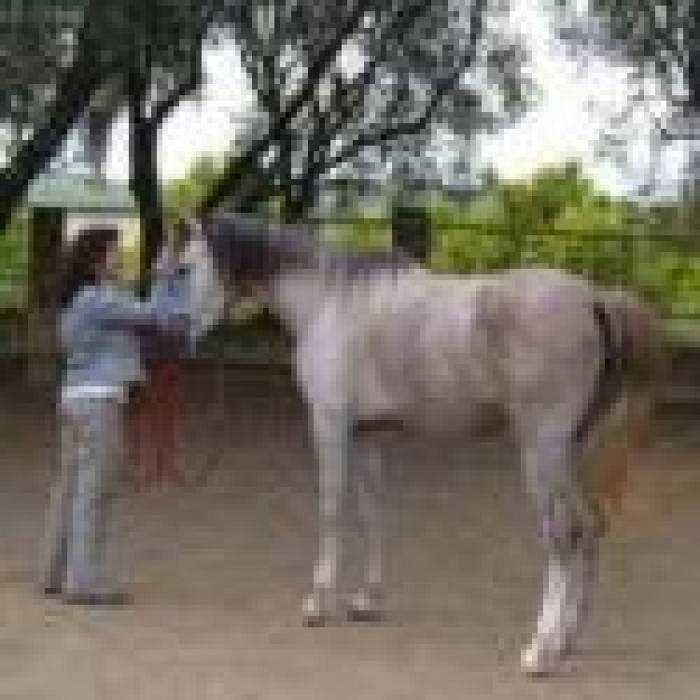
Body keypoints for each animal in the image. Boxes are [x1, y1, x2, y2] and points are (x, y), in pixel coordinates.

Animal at [176, 213, 663, 675]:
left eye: (182, 268)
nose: (181, 336)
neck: (328, 301)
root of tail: (593, 298)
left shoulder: (329, 423)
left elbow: (331, 510)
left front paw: (317, 602)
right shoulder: (367, 434)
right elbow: (372, 513)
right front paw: (366, 601)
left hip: (542, 451)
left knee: (563, 534)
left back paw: (540, 651)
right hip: (572, 451)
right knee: (592, 526)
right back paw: (566, 640)